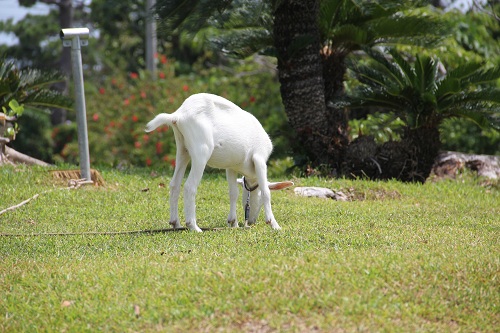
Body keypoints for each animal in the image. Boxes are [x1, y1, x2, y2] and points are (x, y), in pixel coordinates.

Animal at [145, 92, 292, 230]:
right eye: (259, 200)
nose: (250, 221)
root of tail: (178, 115)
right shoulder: (259, 159)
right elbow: (266, 192)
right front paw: (273, 224)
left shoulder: (231, 167)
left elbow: (233, 193)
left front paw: (233, 223)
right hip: (201, 151)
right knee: (189, 186)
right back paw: (193, 226)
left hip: (182, 149)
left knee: (174, 184)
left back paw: (176, 223)